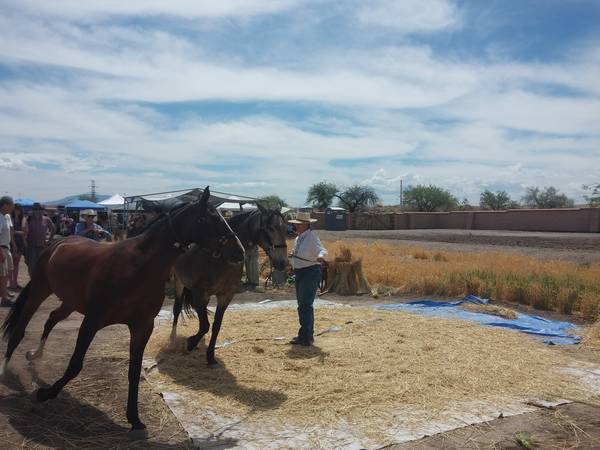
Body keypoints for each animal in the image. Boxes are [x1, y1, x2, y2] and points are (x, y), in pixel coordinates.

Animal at [0, 187, 244, 440]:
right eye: (209, 218)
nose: (240, 252)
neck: (138, 268)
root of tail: (58, 243)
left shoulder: (142, 327)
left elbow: (134, 372)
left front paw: (135, 420)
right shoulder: (92, 321)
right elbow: (75, 365)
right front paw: (45, 394)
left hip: (69, 302)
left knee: (50, 319)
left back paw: (34, 355)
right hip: (39, 290)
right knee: (18, 331)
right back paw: (5, 371)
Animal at [168, 204, 288, 366]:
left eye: (285, 228)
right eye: (270, 228)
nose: (283, 263)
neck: (223, 259)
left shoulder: (225, 297)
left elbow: (215, 326)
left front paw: (210, 356)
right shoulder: (201, 294)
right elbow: (205, 325)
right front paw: (190, 344)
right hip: (179, 283)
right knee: (176, 310)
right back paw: (172, 341)